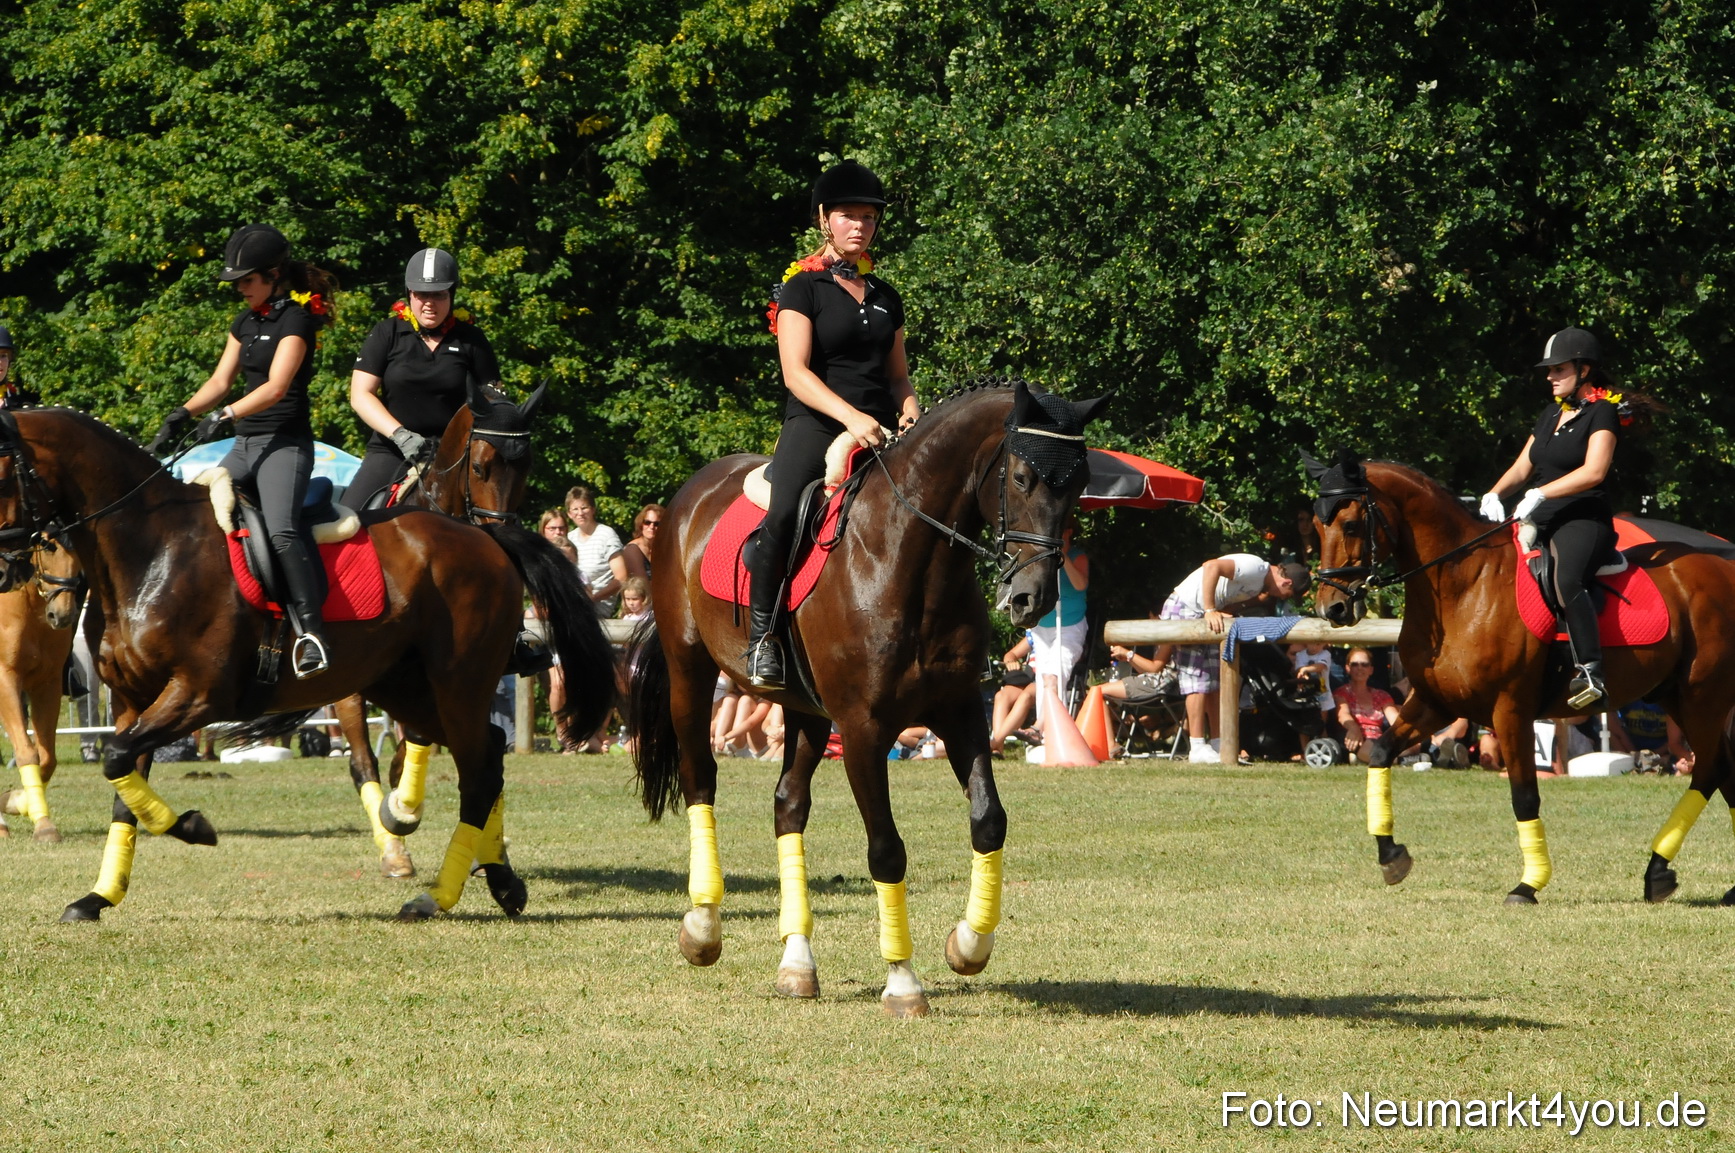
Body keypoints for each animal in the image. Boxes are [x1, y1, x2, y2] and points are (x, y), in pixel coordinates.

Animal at [0, 533, 84, 842]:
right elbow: (27, 752)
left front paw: (17, 803)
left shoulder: (46, 684)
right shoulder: (6, 680)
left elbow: (47, 758)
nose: (63, 615)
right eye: (48, 549)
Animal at [330, 381, 545, 879]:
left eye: (526, 469)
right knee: (362, 763)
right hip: (348, 685)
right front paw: (401, 811)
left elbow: (439, 741)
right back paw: (393, 849)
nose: (497, 535)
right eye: (481, 466)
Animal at [630, 382, 1108, 1017]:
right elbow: (886, 850)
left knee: (788, 806)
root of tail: (691, 493)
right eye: (1023, 477)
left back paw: (797, 963)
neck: (911, 561)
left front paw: (968, 945)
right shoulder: (862, 731)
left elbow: (989, 822)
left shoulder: (960, 715)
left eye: (1079, 484)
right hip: (691, 672)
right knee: (699, 780)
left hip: (805, 712)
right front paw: (903, 981)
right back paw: (703, 926)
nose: (1034, 598)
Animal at [1305, 449, 1735, 904]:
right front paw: (1391, 856)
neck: (1464, 587)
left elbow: (1525, 796)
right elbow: (1381, 754)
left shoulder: (1510, 711)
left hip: (1702, 698)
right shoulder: (1434, 702)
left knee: (1710, 770)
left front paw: (1528, 885)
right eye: (1316, 525)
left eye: (1351, 524)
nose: (1332, 608)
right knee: (1725, 770)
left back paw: (1657, 871)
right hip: (1677, 696)